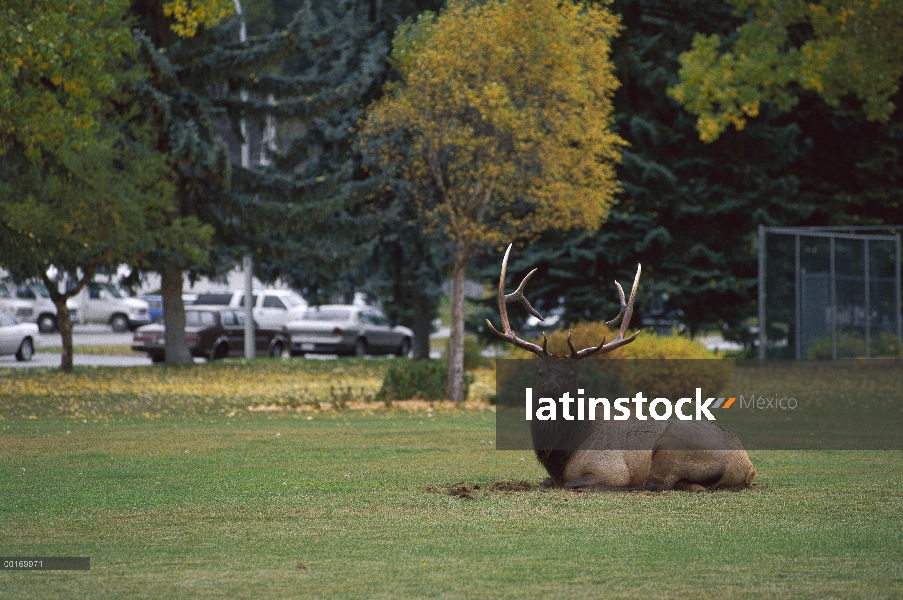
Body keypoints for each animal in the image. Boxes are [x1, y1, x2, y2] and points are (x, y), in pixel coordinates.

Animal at [488, 245, 756, 492]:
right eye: (541, 373)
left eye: (571, 375)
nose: (549, 391)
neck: (562, 457)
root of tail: (747, 467)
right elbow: (547, 482)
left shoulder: (608, 468)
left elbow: (576, 483)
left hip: (673, 447)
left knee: (653, 484)